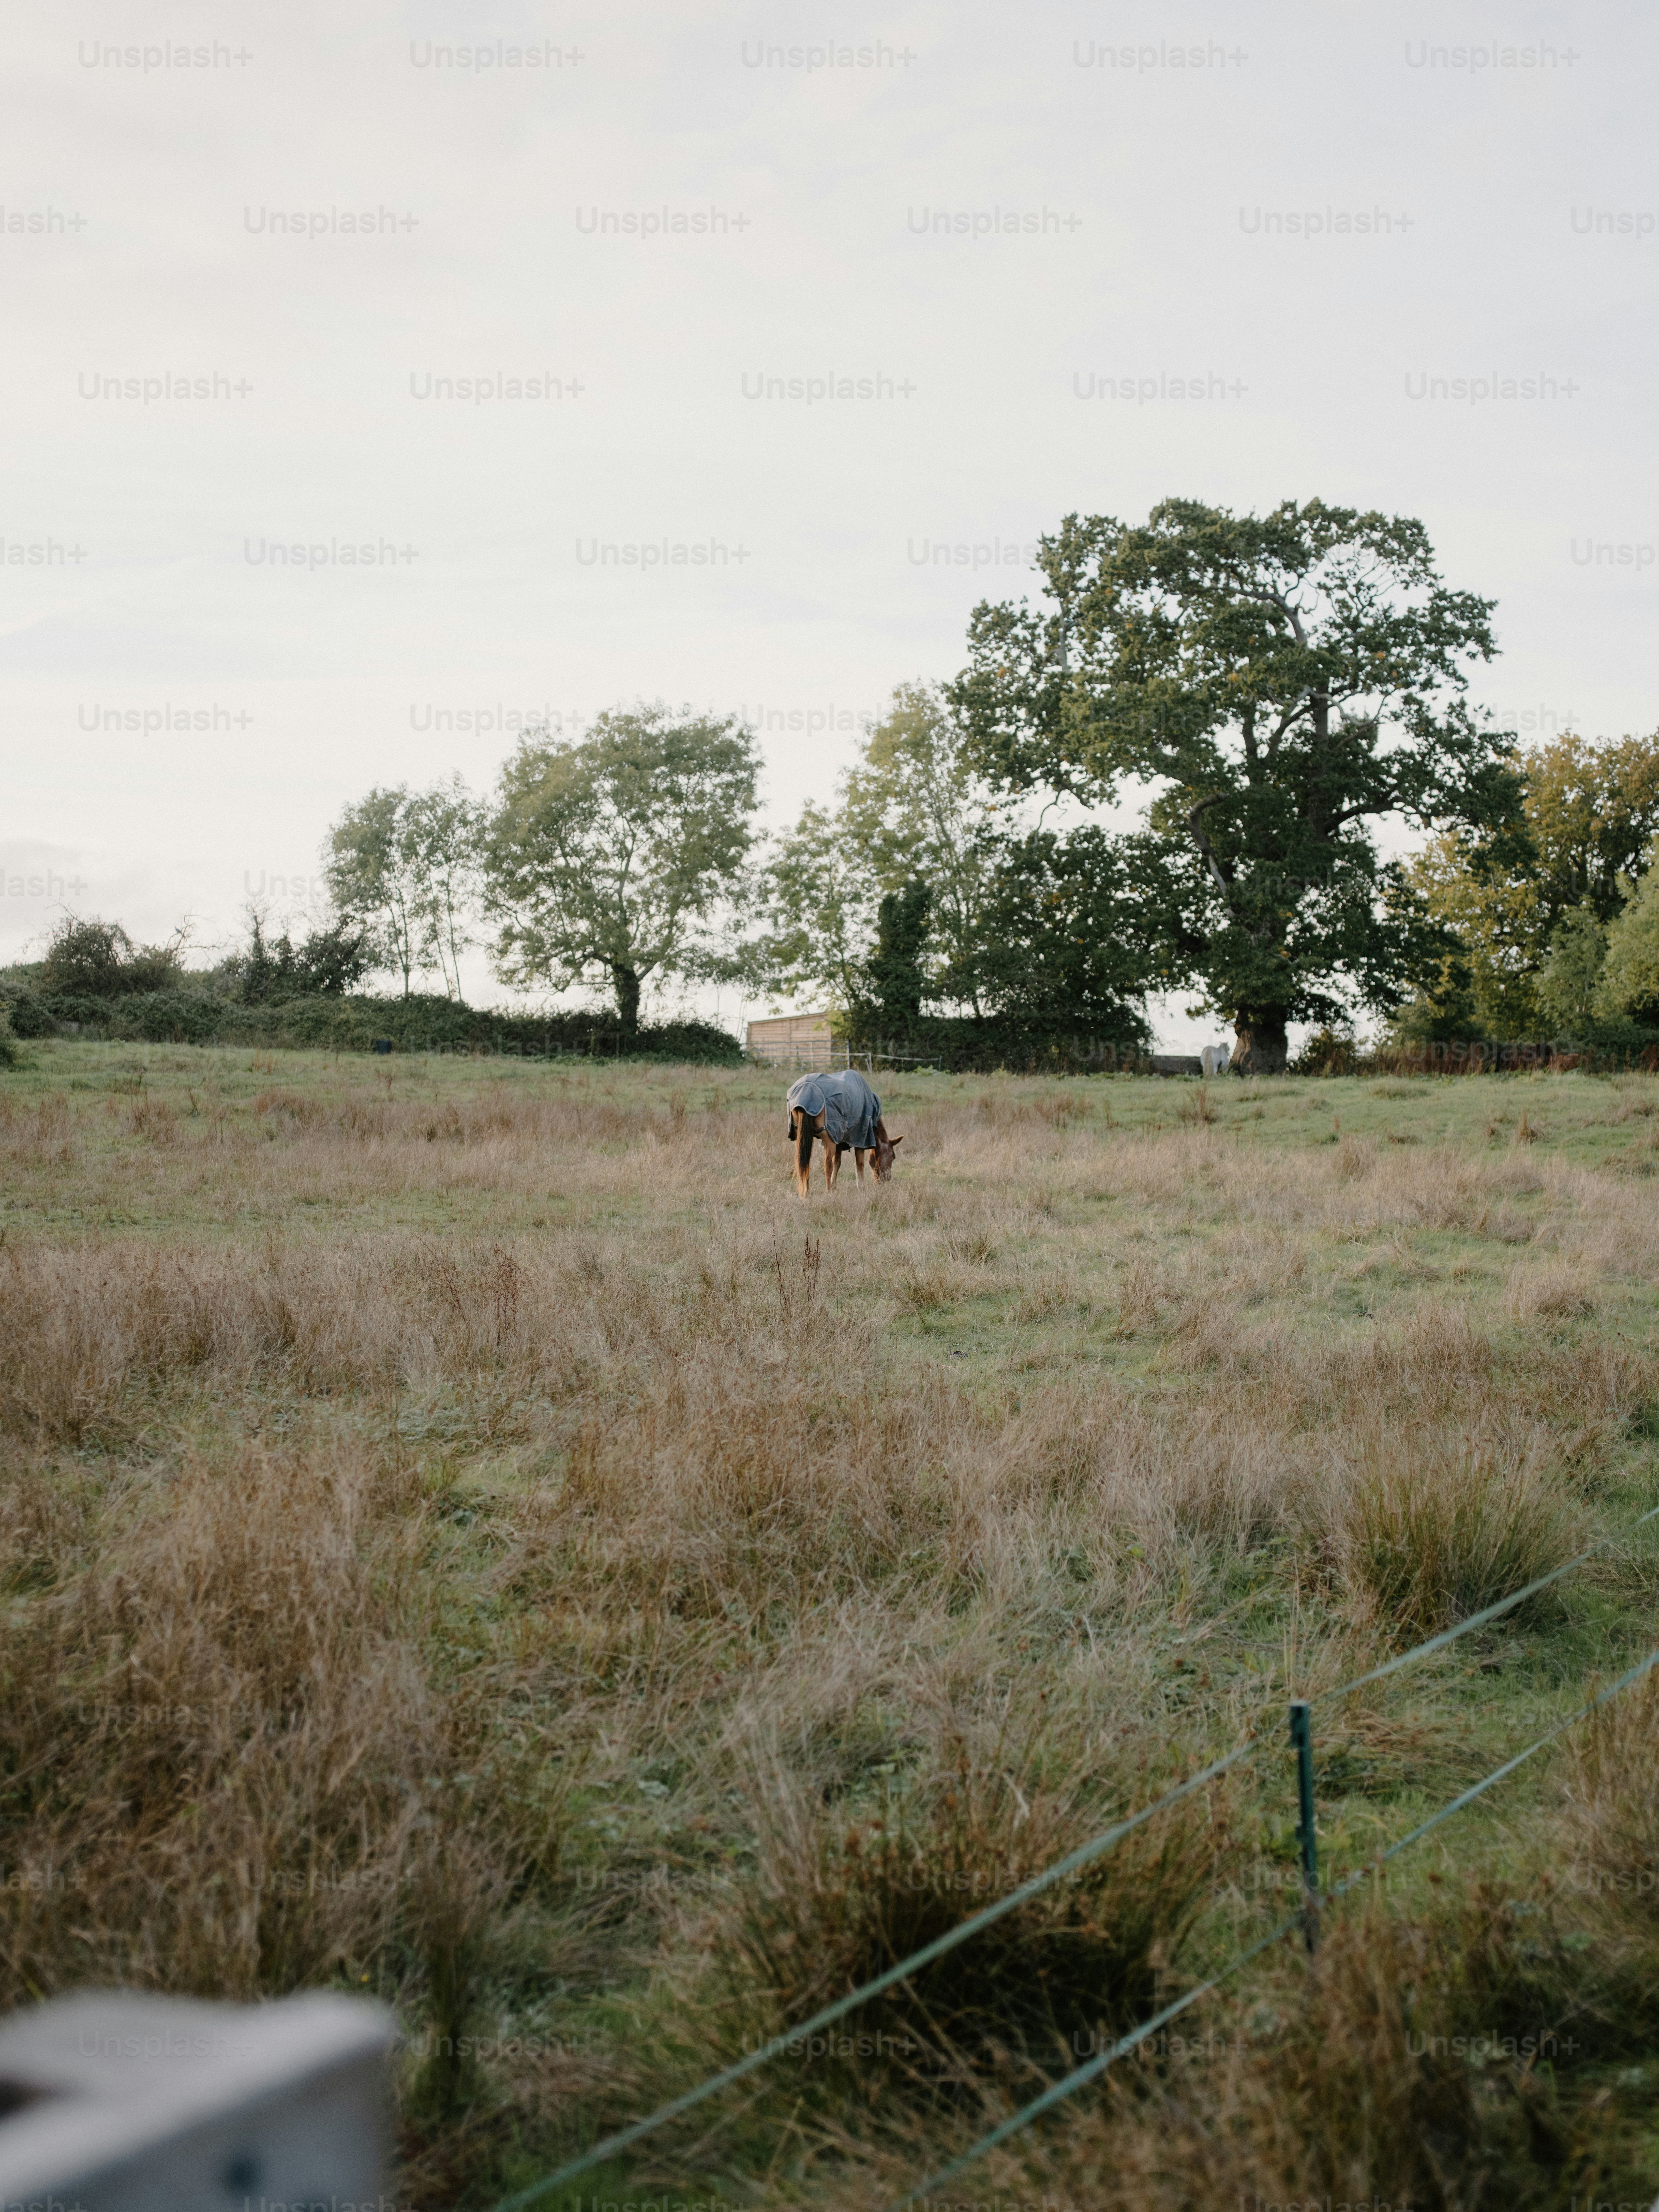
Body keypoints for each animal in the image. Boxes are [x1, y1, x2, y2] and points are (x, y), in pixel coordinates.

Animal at [785, 1069, 903, 1195]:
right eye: (894, 1156)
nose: (887, 1180)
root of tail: (806, 1091)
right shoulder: (860, 1139)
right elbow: (859, 1164)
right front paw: (861, 1187)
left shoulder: (839, 1141)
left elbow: (838, 1162)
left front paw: (835, 1186)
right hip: (828, 1139)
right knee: (828, 1165)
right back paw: (828, 1191)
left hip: (801, 1138)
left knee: (803, 1163)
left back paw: (806, 1193)